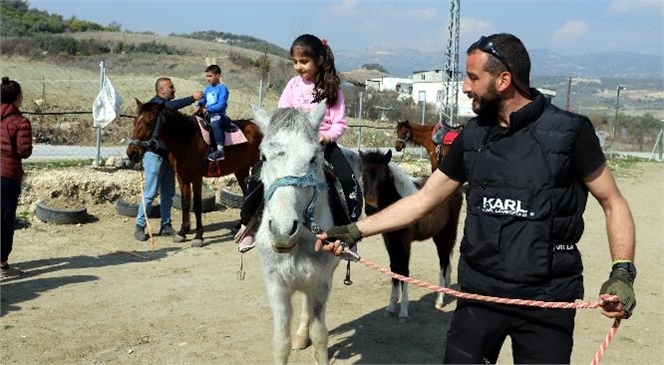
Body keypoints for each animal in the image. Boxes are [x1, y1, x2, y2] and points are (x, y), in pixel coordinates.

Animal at [124, 99, 262, 246]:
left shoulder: (196, 177)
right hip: (241, 170)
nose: (131, 152)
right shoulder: (181, 176)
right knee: (246, 194)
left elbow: (196, 205)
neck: (187, 139)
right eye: (134, 122)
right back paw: (241, 225)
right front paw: (182, 232)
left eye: (148, 123)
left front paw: (198, 236)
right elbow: (185, 204)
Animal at [252, 102, 340, 364]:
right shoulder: (276, 288)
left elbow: (320, 336)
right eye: (263, 157)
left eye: (313, 158)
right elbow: (281, 343)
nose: (282, 231)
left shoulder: (321, 284)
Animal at [360, 149, 460, 320]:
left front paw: (404, 311)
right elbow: (394, 268)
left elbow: (404, 270)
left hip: (446, 234)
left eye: (384, 177)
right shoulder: (389, 240)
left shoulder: (405, 241)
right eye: (363, 177)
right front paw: (391, 306)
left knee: (444, 262)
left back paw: (439, 300)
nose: (370, 209)